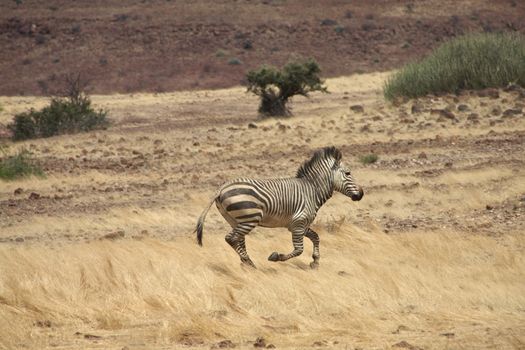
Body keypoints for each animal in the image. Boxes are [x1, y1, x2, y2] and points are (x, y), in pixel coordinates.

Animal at [194, 145, 362, 268]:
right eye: (348, 173)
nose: (361, 194)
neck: (312, 190)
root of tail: (222, 188)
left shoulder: (298, 224)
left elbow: (316, 237)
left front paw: (315, 261)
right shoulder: (299, 223)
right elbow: (299, 249)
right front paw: (276, 257)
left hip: (235, 219)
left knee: (238, 239)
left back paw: (246, 263)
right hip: (250, 217)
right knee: (231, 238)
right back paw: (249, 262)